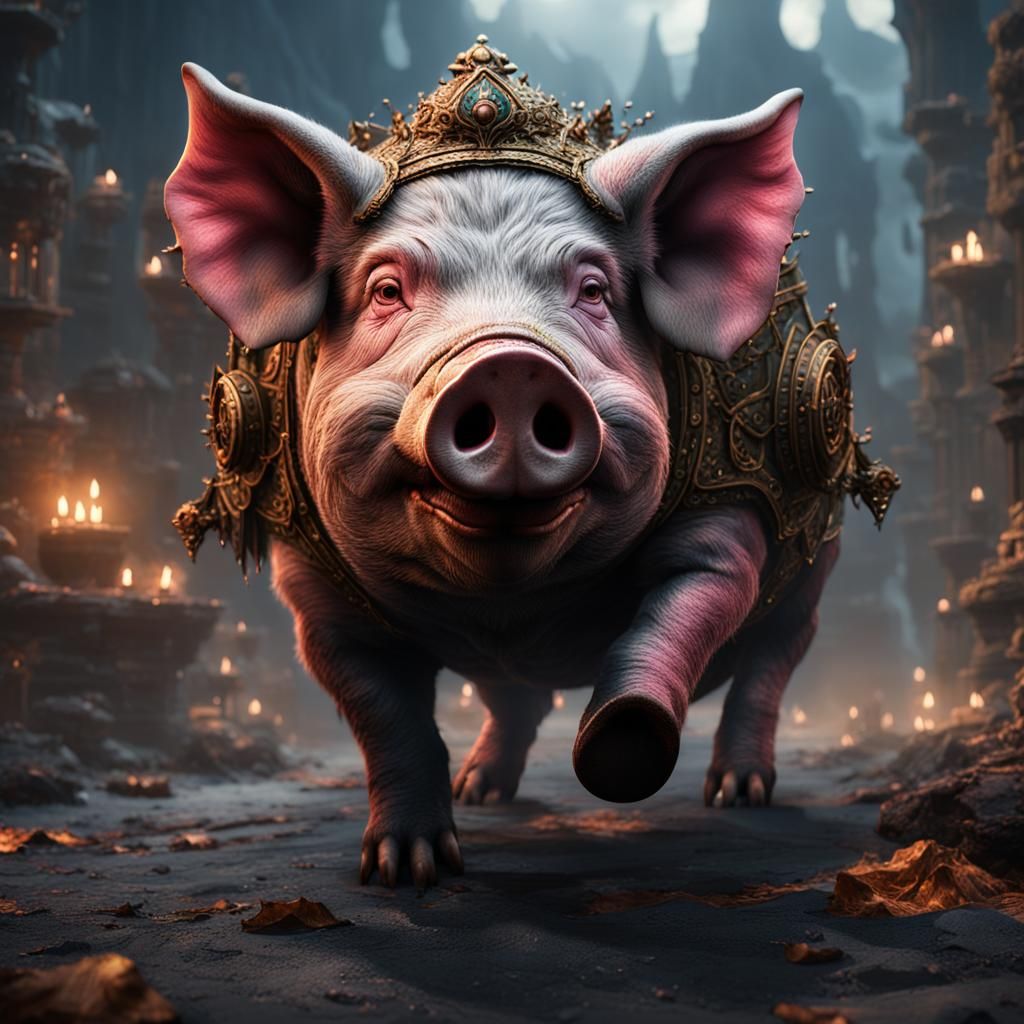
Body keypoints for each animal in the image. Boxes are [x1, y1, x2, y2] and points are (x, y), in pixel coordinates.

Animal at [165, 62, 835, 889]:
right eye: (386, 290)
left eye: (593, 290)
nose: (510, 364)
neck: (513, 604)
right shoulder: (313, 595)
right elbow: (383, 715)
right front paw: (406, 871)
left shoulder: (728, 521)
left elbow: (681, 614)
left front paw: (623, 743)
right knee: (512, 698)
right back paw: (481, 792)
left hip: (812, 573)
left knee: (771, 663)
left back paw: (738, 796)